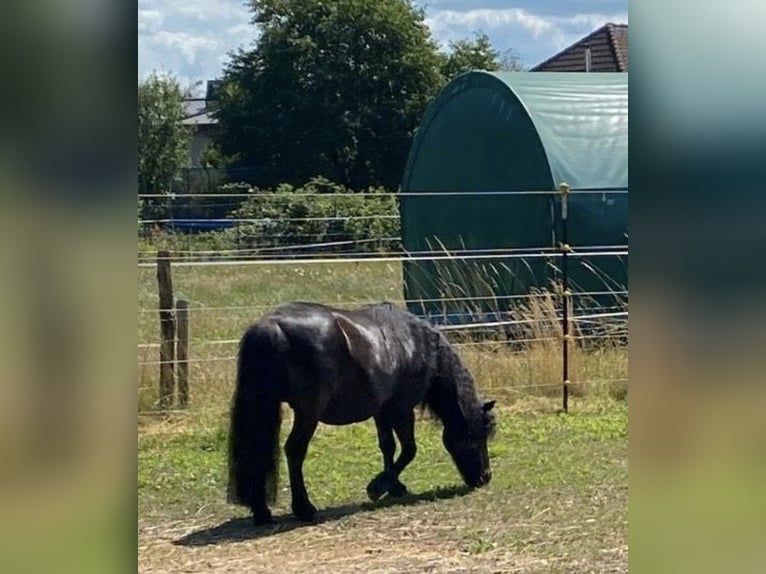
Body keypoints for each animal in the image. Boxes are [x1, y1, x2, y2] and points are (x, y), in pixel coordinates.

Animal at [228, 302, 498, 528]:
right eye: (477, 436)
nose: (485, 477)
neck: (417, 345)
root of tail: (270, 327)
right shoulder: (402, 409)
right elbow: (409, 450)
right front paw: (378, 487)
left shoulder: (382, 411)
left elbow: (388, 447)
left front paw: (394, 486)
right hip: (308, 413)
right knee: (294, 451)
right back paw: (304, 508)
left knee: (257, 450)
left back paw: (261, 511)